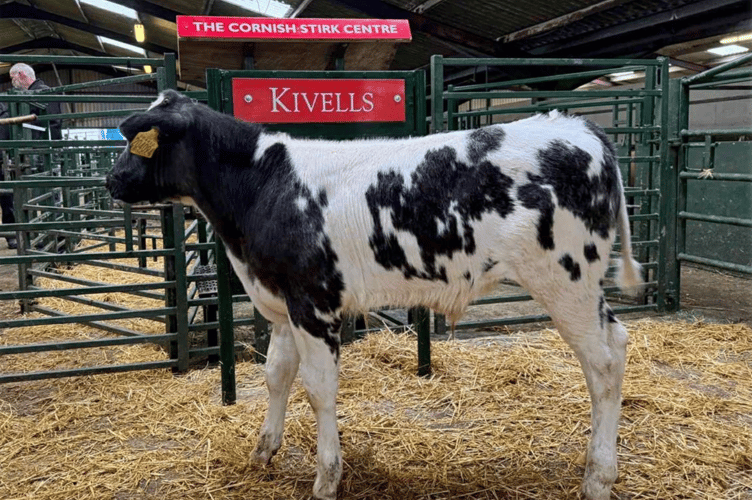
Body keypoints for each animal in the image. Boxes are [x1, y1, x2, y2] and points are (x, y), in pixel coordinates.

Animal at [106, 89, 642, 500]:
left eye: (136, 142)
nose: (110, 179)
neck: (263, 186)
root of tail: (578, 127)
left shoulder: (314, 303)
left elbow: (318, 389)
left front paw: (326, 477)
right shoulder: (281, 305)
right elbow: (277, 375)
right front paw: (263, 450)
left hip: (566, 280)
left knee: (604, 362)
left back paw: (598, 477)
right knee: (616, 344)